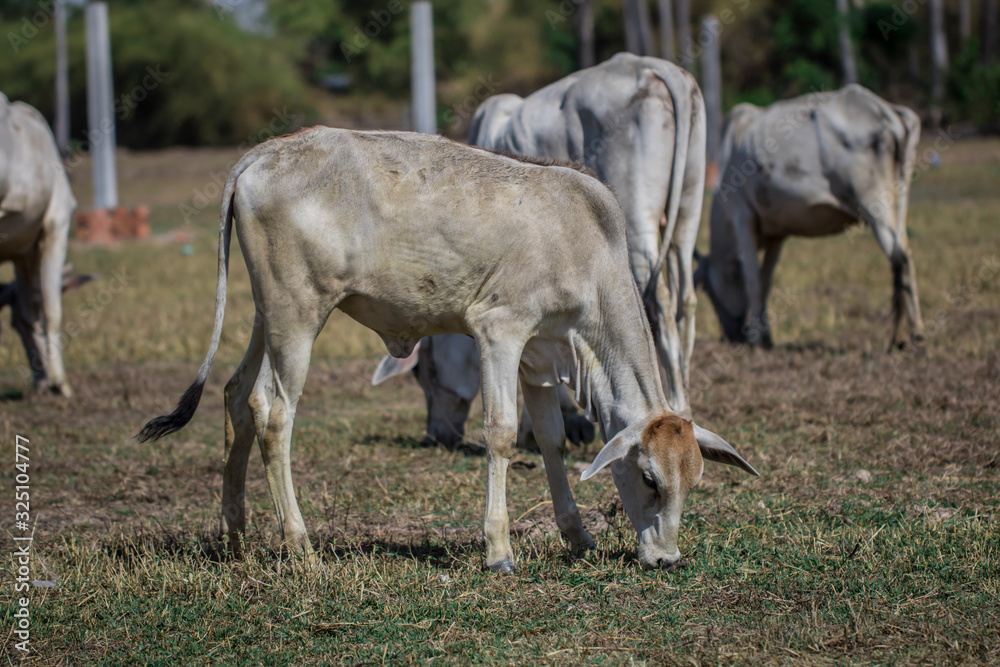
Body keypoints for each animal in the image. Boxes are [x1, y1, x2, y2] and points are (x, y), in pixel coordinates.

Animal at [138, 128, 757, 573]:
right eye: (650, 479)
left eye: (693, 482)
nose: (667, 559)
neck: (585, 245)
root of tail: (263, 153)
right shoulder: (499, 331)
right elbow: (502, 433)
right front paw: (499, 552)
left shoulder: (539, 357)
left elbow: (552, 440)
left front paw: (577, 536)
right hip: (298, 316)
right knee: (274, 413)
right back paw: (300, 546)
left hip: (266, 317)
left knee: (236, 395)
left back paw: (236, 537)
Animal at [373, 53, 707, 448]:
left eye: (426, 371)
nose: (437, 435)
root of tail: (653, 66)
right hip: (688, 211)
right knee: (686, 300)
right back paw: (683, 408)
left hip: (638, 216)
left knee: (662, 304)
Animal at [696, 85, 925, 350]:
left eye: (707, 290)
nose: (730, 337)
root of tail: (887, 111)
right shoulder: (777, 233)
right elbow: (765, 282)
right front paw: (766, 337)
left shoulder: (743, 217)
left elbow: (753, 283)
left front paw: (755, 338)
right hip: (899, 197)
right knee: (901, 258)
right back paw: (902, 334)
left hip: (874, 202)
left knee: (900, 259)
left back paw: (909, 334)